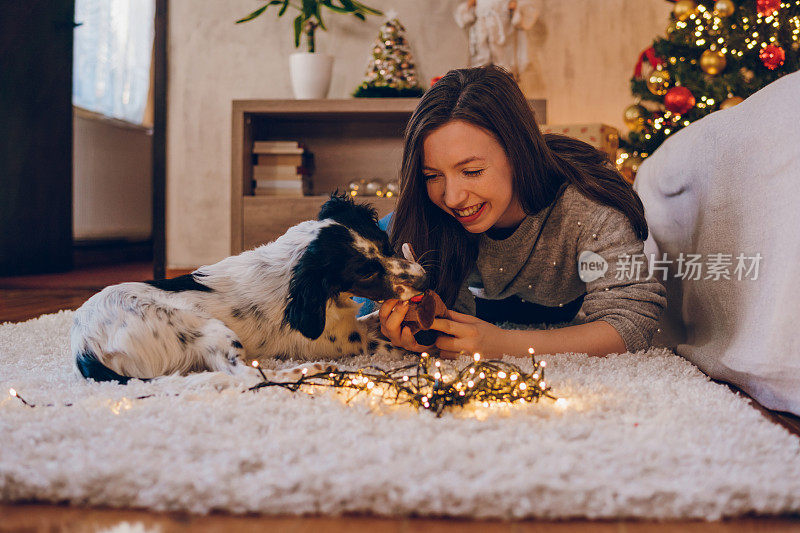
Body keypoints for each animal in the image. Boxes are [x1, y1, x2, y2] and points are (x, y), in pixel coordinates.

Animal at [72, 194, 428, 382]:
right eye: (365, 273)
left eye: (386, 244)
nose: (424, 280)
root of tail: (84, 345)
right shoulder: (342, 341)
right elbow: (388, 344)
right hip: (210, 330)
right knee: (249, 376)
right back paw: (308, 370)